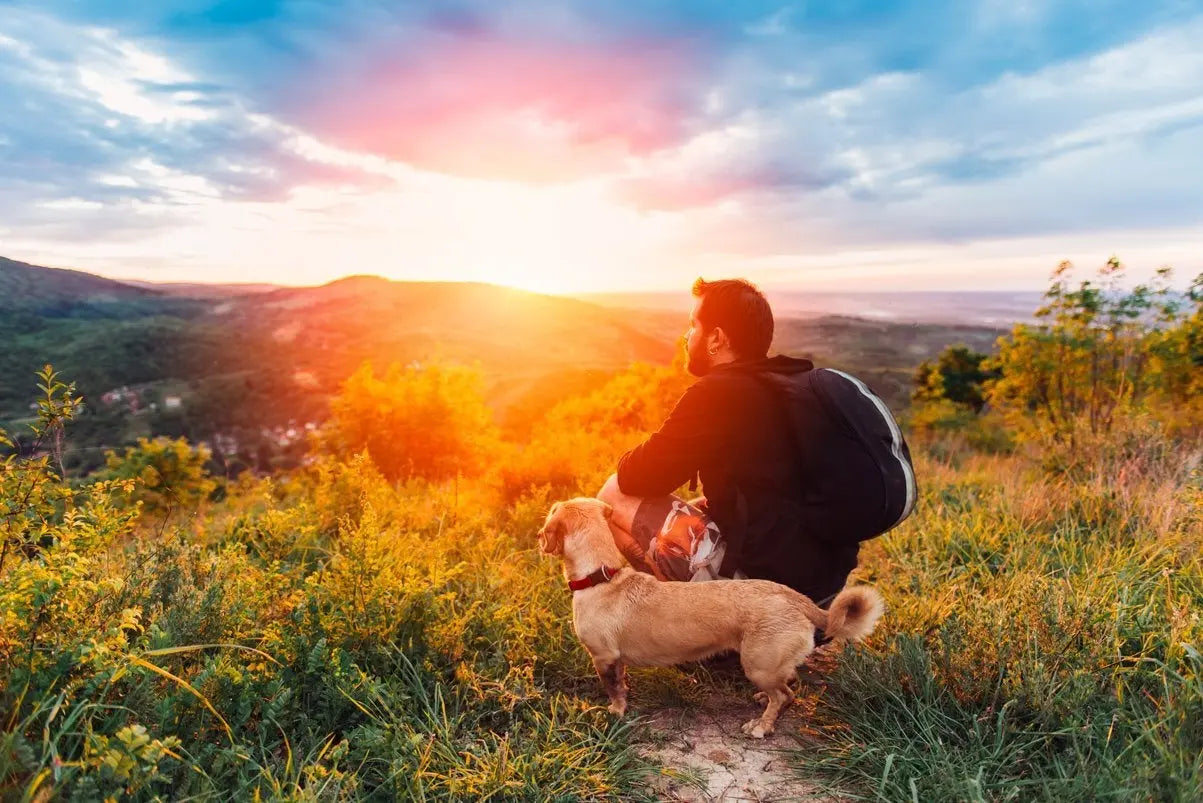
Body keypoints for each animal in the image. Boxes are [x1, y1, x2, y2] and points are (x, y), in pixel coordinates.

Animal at [538, 498, 885, 736]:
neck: (602, 577)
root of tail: (794, 597)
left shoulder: (603, 657)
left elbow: (613, 689)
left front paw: (615, 712)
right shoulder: (616, 659)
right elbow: (622, 684)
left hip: (756, 664)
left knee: (784, 695)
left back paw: (761, 727)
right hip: (769, 665)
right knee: (786, 687)